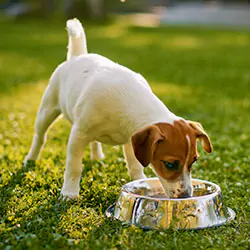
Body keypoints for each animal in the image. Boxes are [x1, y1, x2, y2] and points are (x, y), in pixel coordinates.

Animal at [23, 18, 213, 198]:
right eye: (170, 164)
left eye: (193, 161)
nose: (186, 196)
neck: (129, 100)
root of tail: (77, 56)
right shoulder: (78, 135)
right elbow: (74, 167)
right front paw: (69, 193)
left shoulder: (131, 141)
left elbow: (135, 167)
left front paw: (141, 184)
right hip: (47, 110)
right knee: (40, 137)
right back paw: (30, 159)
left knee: (93, 141)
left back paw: (97, 157)